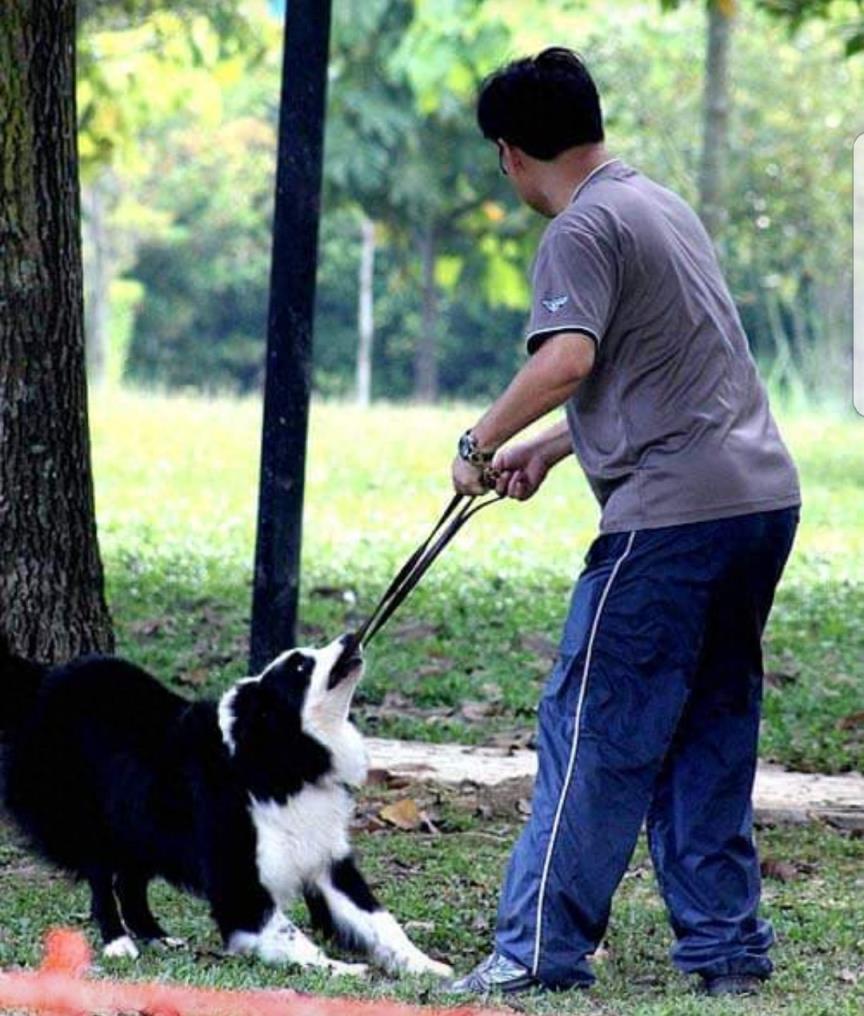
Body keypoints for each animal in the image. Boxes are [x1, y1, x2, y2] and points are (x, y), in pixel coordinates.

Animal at [1, 629, 451, 979]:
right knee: (100, 877)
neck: (285, 754)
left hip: (140, 822)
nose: (351, 637)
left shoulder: (327, 858)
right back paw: (119, 943)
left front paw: (426, 965)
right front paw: (340, 969)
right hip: (88, 813)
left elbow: (379, 920)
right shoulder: (238, 870)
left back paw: (157, 937)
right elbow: (284, 930)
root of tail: (46, 679)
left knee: (130, 879)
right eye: (300, 667)